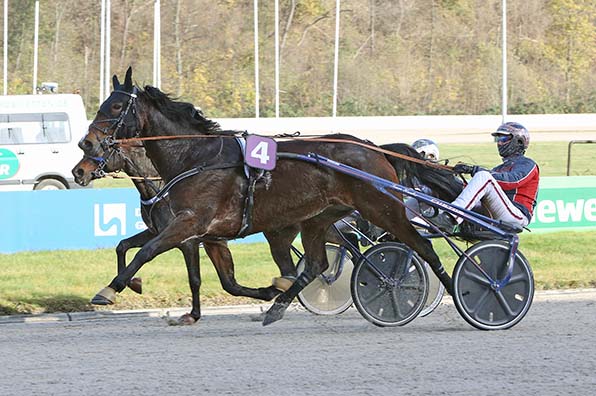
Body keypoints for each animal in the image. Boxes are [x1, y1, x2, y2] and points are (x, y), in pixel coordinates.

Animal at [79, 67, 456, 324]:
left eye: (116, 107)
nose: (85, 146)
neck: (195, 157)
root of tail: (373, 147)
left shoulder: (188, 225)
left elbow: (148, 252)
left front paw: (112, 287)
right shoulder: (206, 235)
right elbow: (214, 278)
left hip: (381, 207)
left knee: (418, 247)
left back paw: (450, 289)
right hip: (316, 219)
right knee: (317, 264)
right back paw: (277, 305)